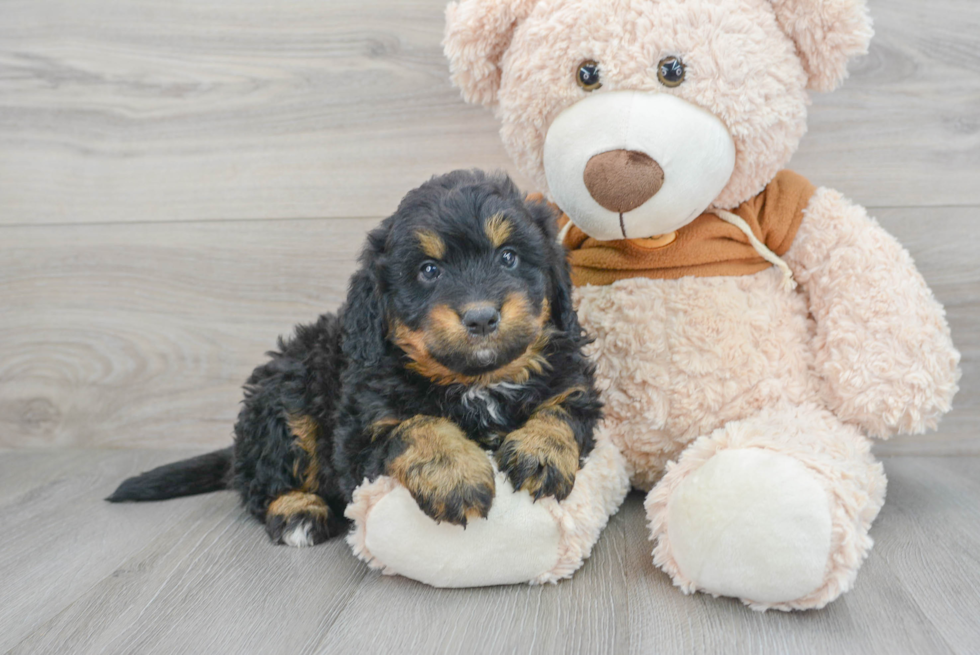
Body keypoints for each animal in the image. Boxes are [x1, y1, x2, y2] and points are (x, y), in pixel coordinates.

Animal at [107, 170, 600, 548]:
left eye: (509, 257)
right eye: (429, 271)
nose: (481, 317)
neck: (476, 381)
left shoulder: (574, 380)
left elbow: (562, 409)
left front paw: (540, 453)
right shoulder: (361, 429)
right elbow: (413, 425)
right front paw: (455, 473)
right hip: (285, 398)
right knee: (260, 481)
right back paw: (298, 512)